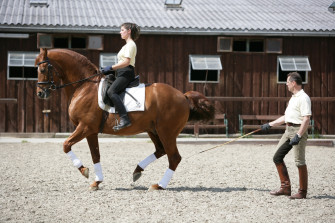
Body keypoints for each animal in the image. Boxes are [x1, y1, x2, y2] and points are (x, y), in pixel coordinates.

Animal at [35, 48, 214, 191]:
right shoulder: (91, 131)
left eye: (43, 69)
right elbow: (95, 155)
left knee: (174, 157)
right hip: (153, 130)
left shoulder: (85, 127)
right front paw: (97, 182)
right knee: (161, 151)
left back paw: (159, 185)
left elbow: (66, 145)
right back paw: (137, 170)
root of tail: (182, 96)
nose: (40, 94)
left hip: (167, 132)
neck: (84, 86)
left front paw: (84, 171)